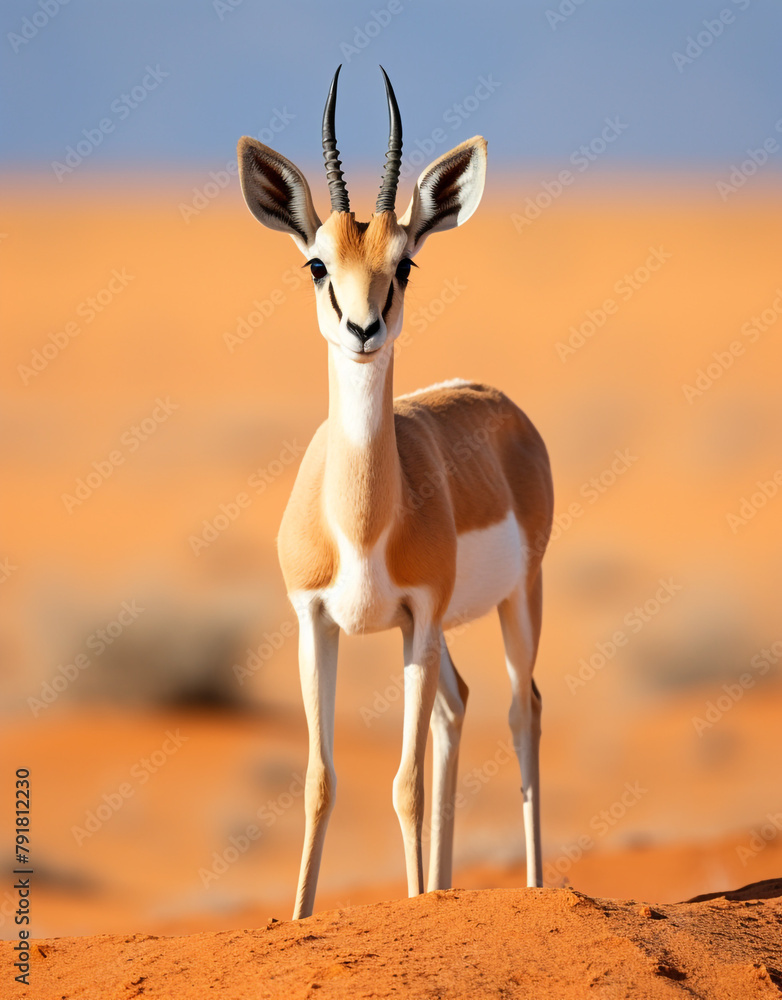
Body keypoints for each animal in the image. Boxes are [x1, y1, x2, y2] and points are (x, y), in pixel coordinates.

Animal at [237, 66, 553, 920]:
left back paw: (533, 885)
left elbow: (404, 784)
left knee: (523, 708)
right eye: (317, 263)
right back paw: (441, 887)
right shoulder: (316, 622)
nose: (362, 329)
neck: (360, 522)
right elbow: (318, 782)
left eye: (405, 263)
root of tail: (498, 402)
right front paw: (300, 916)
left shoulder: (415, 615)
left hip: (515, 600)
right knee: (457, 705)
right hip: (441, 633)